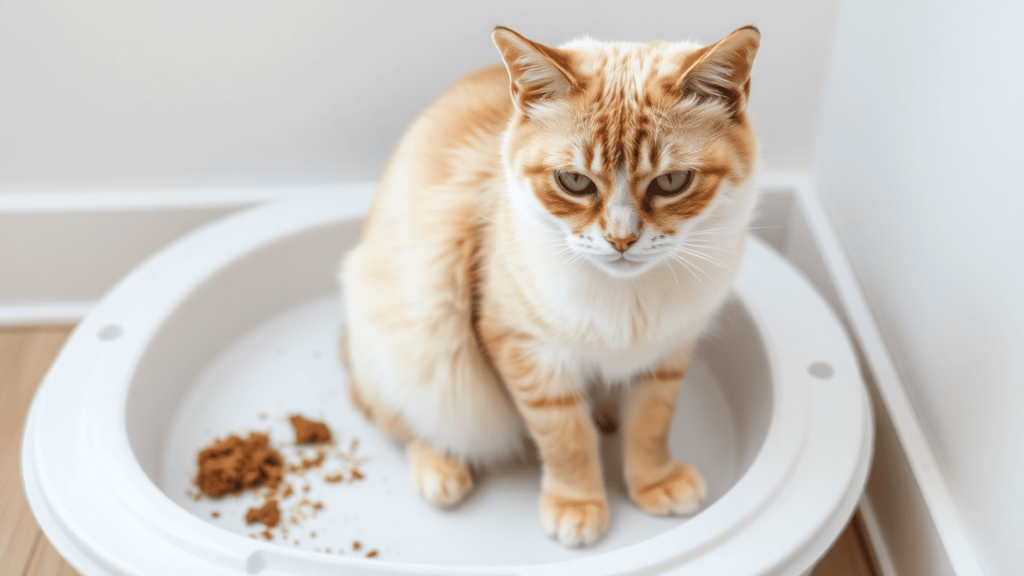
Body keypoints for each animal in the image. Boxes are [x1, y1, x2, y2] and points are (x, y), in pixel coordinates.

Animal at [337, 24, 761, 545]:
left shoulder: (667, 353)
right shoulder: (528, 353)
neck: (628, 301)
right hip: (414, 344)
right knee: (407, 419)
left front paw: (654, 483)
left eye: (672, 182)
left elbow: (650, 426)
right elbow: (567, 441)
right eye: (574, 182)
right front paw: (577, 506)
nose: (621, 240)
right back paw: (442, 470)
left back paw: (606, 414)